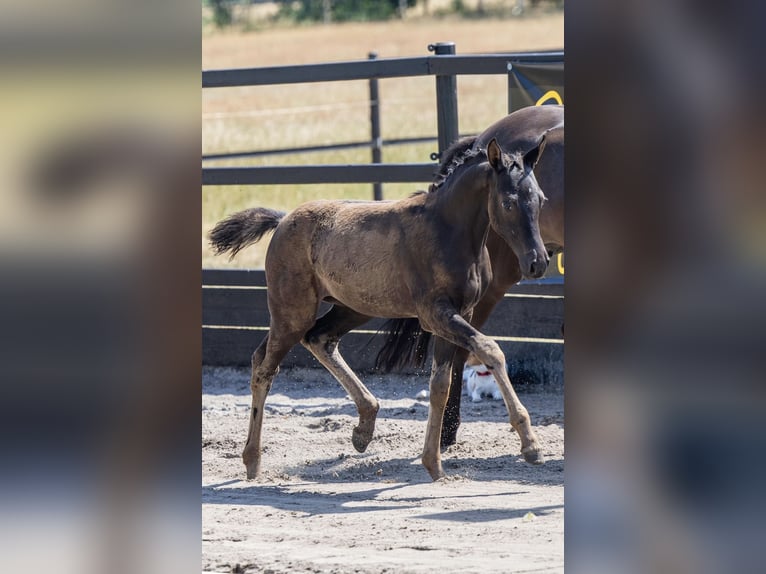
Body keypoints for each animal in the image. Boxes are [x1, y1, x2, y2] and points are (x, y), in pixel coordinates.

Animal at [209, 137, 550, 481]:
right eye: (507, 203)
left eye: (541, 200)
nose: (538, 262)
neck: (447, 231)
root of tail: (282, 220)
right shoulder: (434, 314)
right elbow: (490, 350)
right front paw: (530, 445)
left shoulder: (460, 314)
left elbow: (440, 383)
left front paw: (433, 462)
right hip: (292, 312)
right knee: (266, 366)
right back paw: (253, 460)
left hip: (352, 307)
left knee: (316, 339)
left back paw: (364, 426)